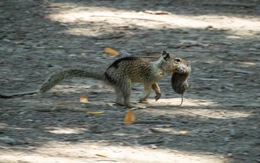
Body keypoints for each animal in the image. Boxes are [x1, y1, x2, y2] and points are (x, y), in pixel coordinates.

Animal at [1, 51, 190, 107]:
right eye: (177, 60)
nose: (187, 63)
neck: (159, 67)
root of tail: (106, 76)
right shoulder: (148, 78)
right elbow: (148, 88)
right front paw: (145, 98)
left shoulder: (154, 79)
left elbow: (155, 87)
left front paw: (158, 95)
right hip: (125, 83)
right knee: (125, 98)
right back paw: (131, 105)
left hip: (119, 85)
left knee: (118, 98)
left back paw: (119, 103)